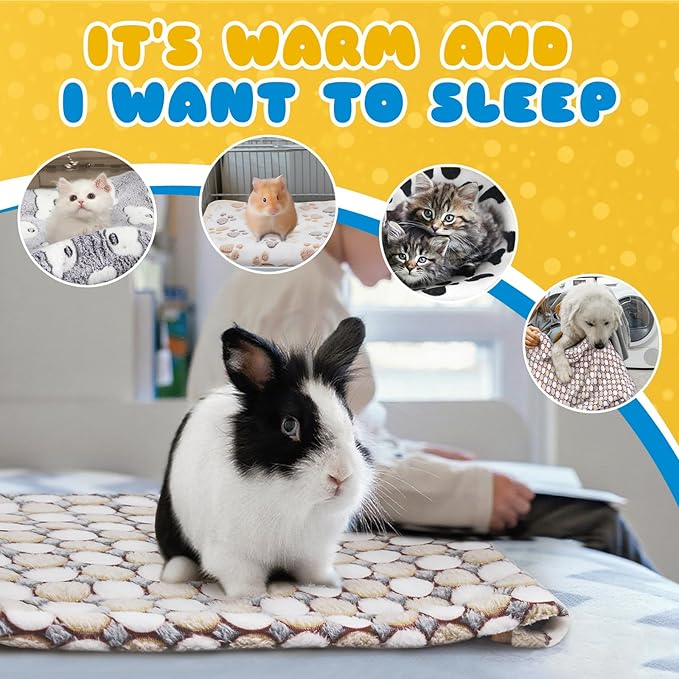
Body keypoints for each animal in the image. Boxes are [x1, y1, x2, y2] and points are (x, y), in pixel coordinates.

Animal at [155, 317, 374, 598]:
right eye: (289, 425)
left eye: (350, 419)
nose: (340, 476)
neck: (293, 503)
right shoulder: (232, 555)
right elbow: (244, 579)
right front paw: (250, 596)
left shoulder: (315, 554)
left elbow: (314, 571)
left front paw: (330, 584)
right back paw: (175, 574)